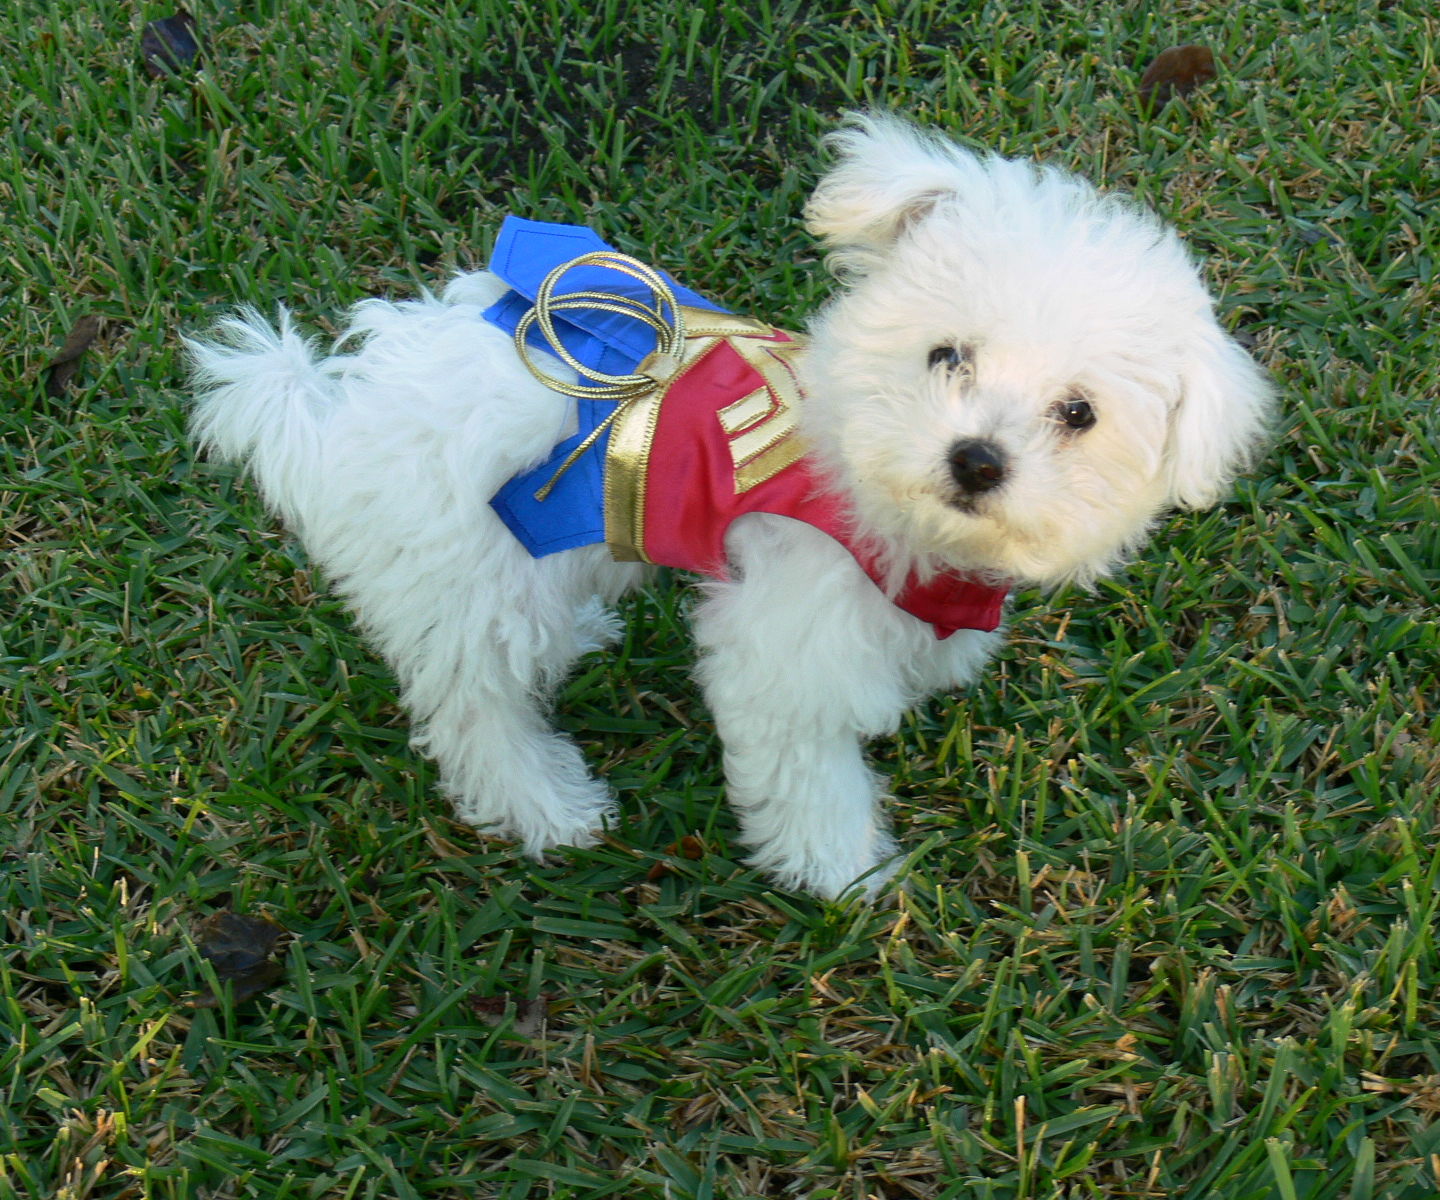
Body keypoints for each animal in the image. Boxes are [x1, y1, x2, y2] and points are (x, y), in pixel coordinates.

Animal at [188, 114, 1272, 898]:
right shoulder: (786, 650)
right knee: (474, 711)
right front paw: (844, 871)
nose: (975, 459)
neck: (866, 480)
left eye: (1078, 414)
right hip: (466, 573)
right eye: (946, 356)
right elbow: (807, 769)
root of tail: (337, 409)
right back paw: (545, 806)